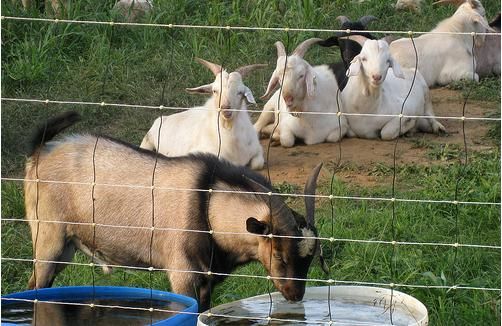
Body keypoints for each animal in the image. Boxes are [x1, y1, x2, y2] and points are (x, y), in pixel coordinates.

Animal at [24, 111, 322, 310]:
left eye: (310, 259)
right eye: (279, 255)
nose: (295, 295)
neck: (206, 203)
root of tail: (39, 153)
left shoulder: (207, 283)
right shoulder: (182, 276)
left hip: (65, 247)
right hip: (48, 238)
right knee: (35, 287)